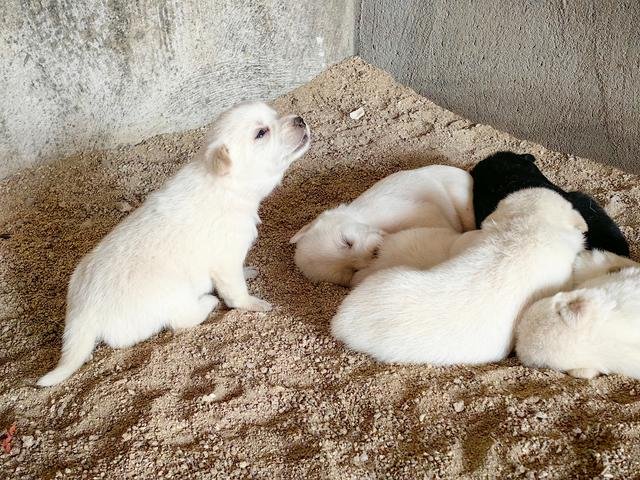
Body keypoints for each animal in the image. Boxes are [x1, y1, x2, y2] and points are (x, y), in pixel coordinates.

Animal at [37, 101, 311, 386]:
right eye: (261, 133)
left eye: (275, 115)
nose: (300, 119)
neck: (224, 185)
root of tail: (82, 315)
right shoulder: (225, 261)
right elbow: (236, 292)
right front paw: (255, 304)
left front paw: (249, 271)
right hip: (173, 294)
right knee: (181, 319)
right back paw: (207, 302)